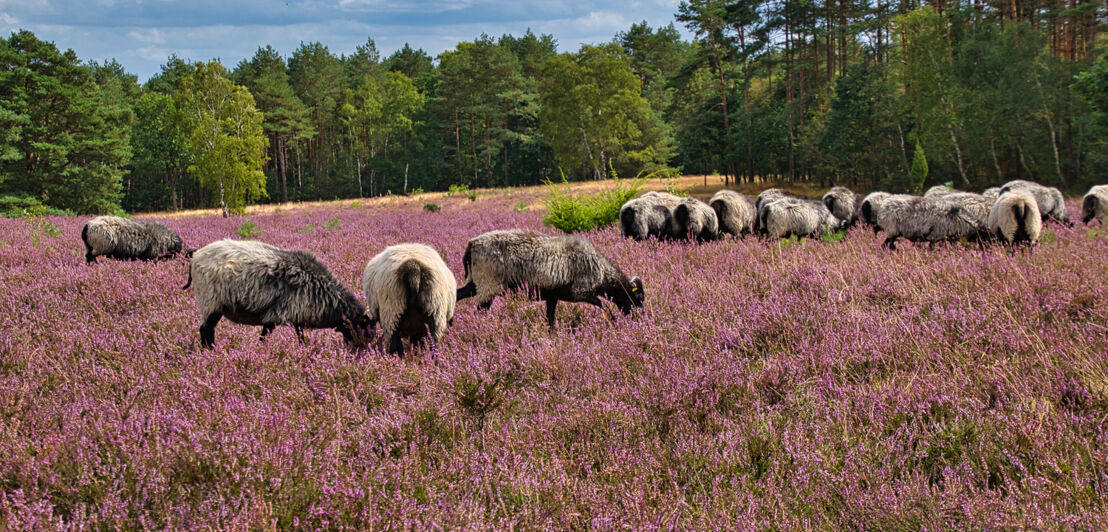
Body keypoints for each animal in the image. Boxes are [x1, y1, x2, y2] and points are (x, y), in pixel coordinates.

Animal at [181, 240, 370, 350]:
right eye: (364, 328)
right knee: (206, 329)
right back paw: (209, 352)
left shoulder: (292, 315)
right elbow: (269, 336)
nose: (366, 350)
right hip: (209, 302)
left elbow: (295, 335)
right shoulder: (279, 314)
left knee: (207, 329)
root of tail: (195, 257)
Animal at [454, 229, 647, 325]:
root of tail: (472, 244)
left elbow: (550, 318)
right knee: (480, 311)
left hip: (477, 283)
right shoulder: (580, 293)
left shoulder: (553, 296)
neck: (602, 274)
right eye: (638, 297)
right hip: (488, 285)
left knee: (458, 294)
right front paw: (612, 320)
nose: (643, 320)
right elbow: (602, 305)